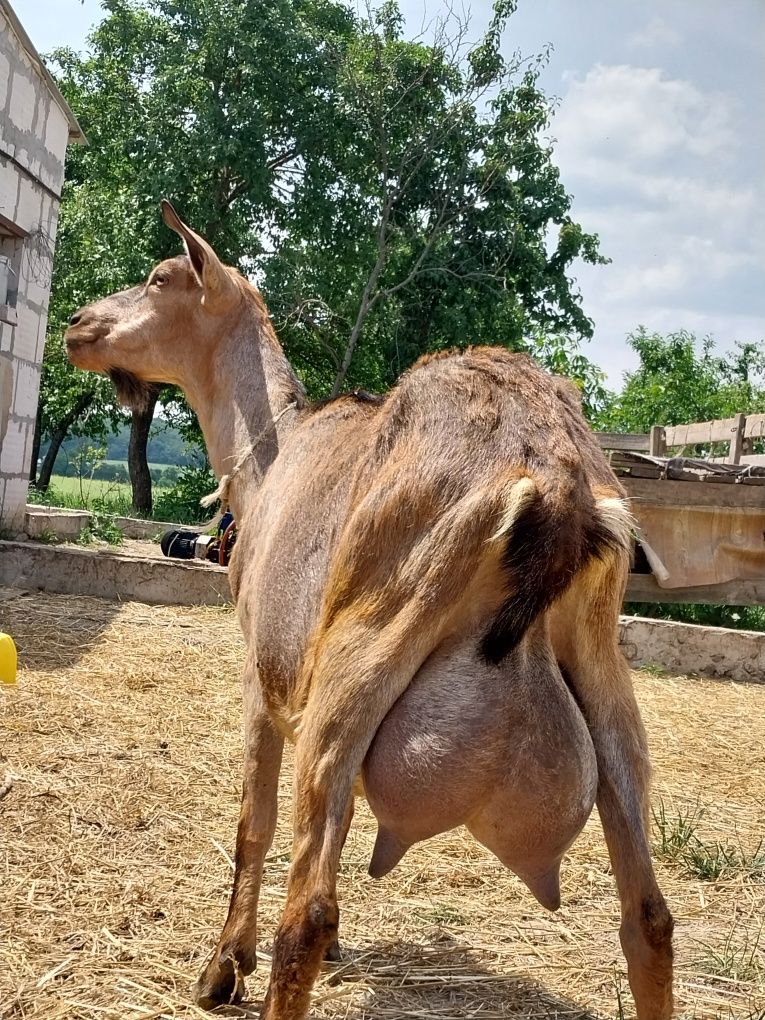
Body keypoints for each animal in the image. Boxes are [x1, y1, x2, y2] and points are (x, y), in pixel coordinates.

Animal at [68, 200, 673, 1020]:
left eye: (163, 277)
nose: (78, 326)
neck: (276, 456)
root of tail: (553, 484)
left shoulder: (264, 674)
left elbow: (254, 823)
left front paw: (225, 964)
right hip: (602, 677)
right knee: (649, 918)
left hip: (361, 656)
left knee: (308, 914)